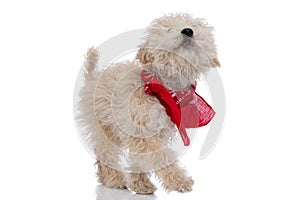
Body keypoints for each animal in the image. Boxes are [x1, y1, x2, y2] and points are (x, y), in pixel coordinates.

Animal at [77, 12, 220, 194]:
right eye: (168, 29)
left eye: (195, 26)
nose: (188, 31)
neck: (164, 89)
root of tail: (92, 77)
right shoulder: (144, 133)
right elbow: (161, 157)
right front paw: (179, 181)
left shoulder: (150, 132)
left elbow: (140, 159)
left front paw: (140, 184)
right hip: (103, 128)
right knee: (105, 153)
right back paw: (113, 179)